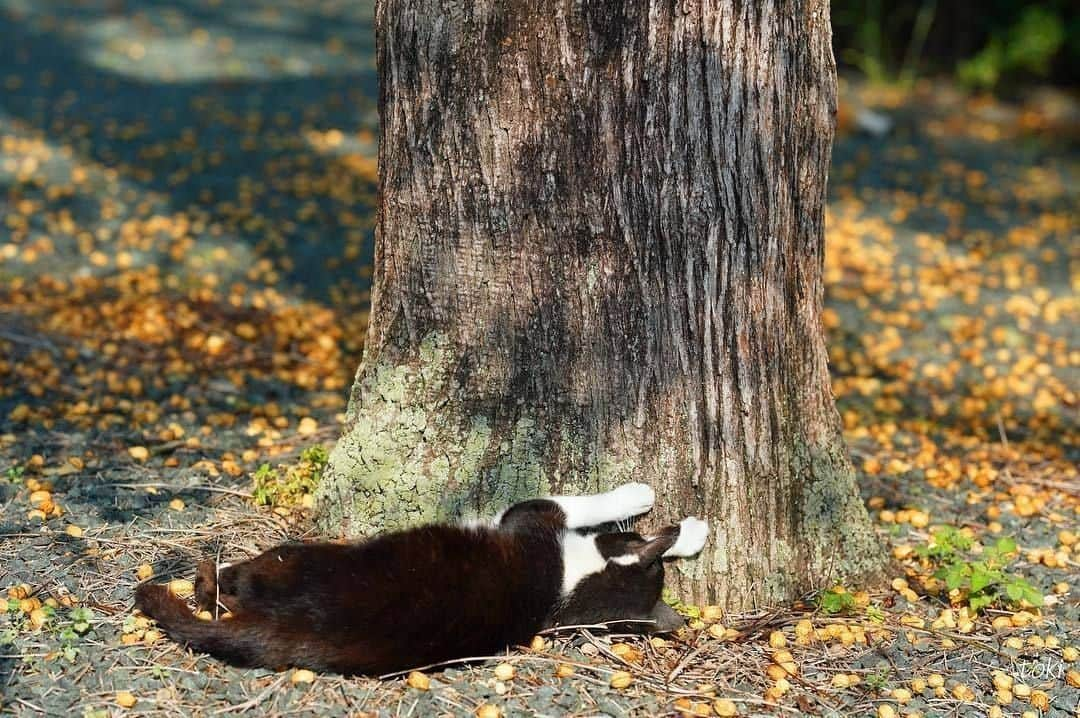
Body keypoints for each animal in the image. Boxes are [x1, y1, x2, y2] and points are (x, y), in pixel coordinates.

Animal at [135, 483, 708, 673]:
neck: (568, 588)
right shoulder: (534, 524)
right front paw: (689, 530)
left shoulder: (528, 517)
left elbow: (574, 501)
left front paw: (640, 497)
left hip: (288, 558)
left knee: (220, 584)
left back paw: (213, 574)